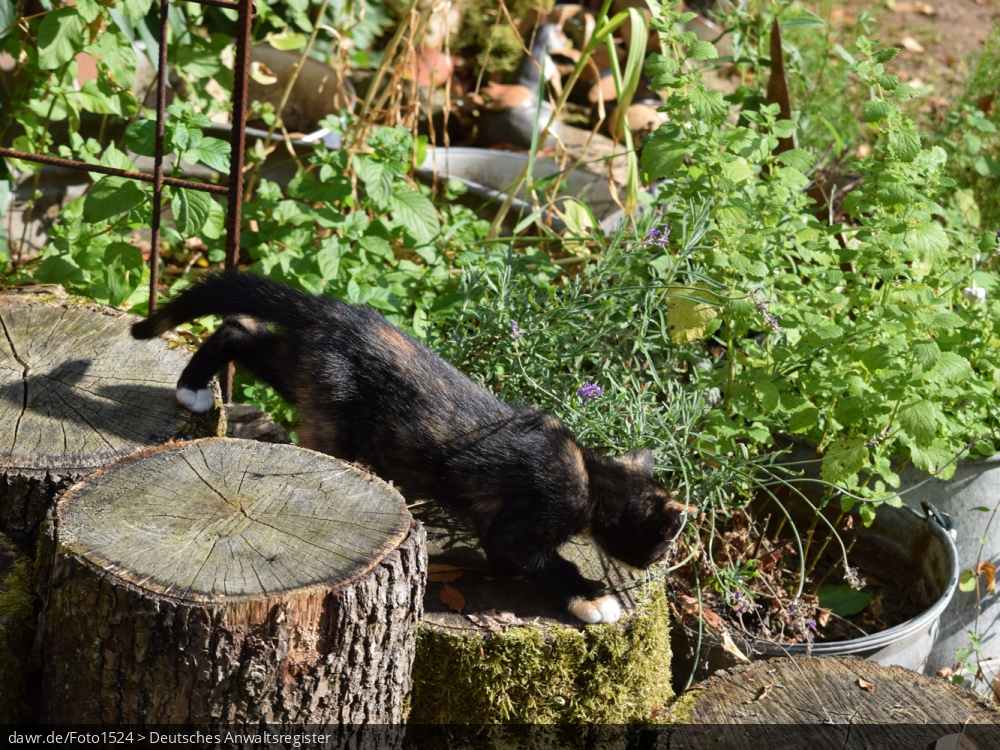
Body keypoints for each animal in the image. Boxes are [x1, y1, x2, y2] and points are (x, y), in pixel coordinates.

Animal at [133, 274, 688, 624]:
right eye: (664, 541)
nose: (657, 563)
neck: (591, 480)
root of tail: (340, 310)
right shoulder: (526, 516)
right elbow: (541, 559)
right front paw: (592, 598)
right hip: (332, 405)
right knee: (243, 335)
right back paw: (192, 388)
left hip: (306, 375)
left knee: (240, 328)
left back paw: (193, 385)